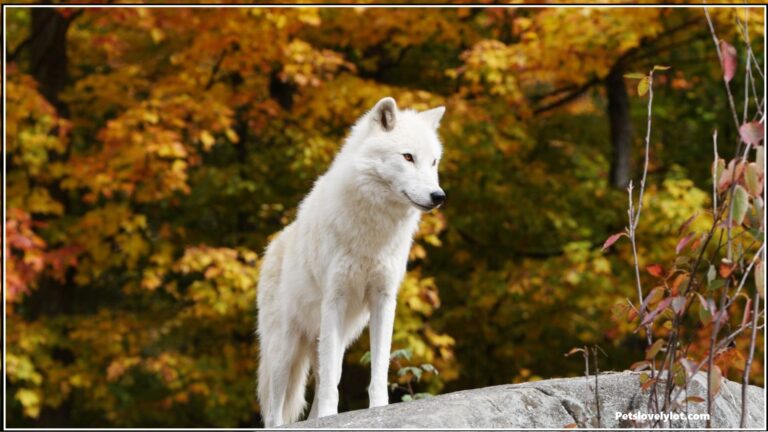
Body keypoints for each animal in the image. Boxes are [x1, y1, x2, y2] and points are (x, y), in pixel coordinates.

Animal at [256, 97, 444, 426]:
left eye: (433, 162)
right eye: (408, 157)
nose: (438, 196)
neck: (374, 228)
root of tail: (273, 246)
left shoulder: (384, 299)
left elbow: (379, 368)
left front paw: (378, 409)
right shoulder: (335, 298)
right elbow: (331, 384)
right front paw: (331, 415)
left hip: (334, 339)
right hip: (284, 352)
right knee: (275, 410)